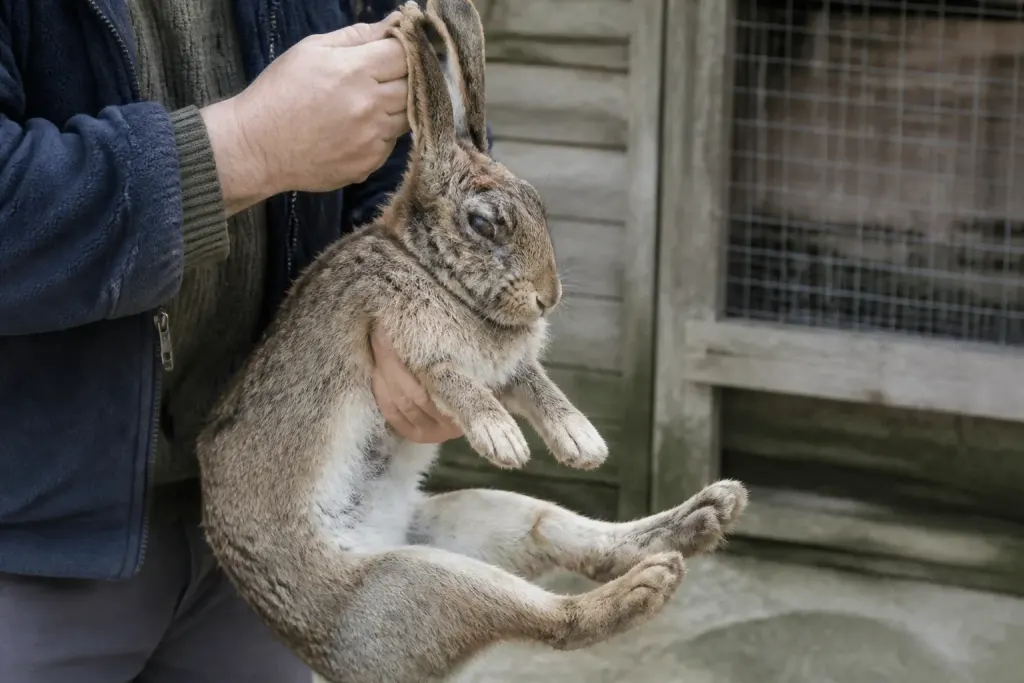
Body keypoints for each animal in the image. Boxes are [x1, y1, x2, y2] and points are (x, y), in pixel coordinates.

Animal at [195, 1, 749, 682]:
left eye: (540, 205)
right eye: (485, 223)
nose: (548, 298)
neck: (429, 269)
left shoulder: (510, 368)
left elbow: (538, 385)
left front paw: (582, 444)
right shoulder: (407, 344)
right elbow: (455, 381)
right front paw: (503, 439)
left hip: (480, 520)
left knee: (571, 538)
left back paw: (703, 517)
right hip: (419, 584)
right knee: (555, 620)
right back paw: (649, 584)